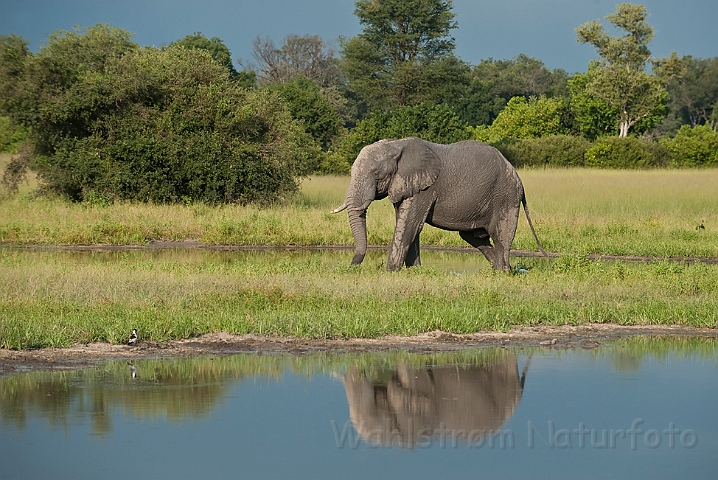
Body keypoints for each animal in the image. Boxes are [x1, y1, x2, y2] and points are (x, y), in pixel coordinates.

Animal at [332, 137, 544, 270]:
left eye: (377, 174)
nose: (351, 267)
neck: (397, 145)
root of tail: (517, 175)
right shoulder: (406, 186)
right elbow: (410, 225)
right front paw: (415, 271)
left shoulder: (425, 188)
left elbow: (409, 225)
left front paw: (390, 271)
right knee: (473, 237)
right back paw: (497, 269)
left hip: (505, 196)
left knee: (501, 236)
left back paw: (505, 272)